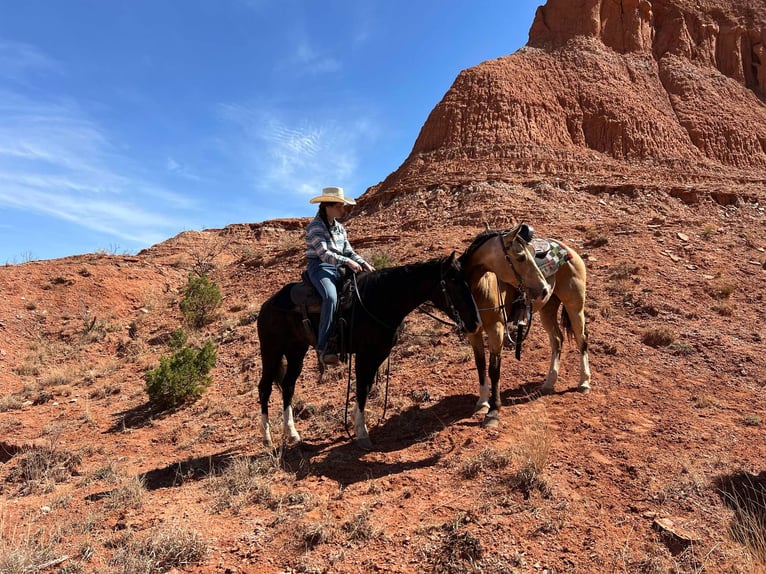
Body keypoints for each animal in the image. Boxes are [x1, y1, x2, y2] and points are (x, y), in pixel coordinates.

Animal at [256, 253, 481, 450]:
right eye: (453, 283)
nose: (475, 323)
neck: (380, 300)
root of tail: (267, 305)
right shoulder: (364, 355)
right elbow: (362, 388)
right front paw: (362, 432)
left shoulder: (379, 353)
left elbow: (368, 384)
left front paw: (355, 421)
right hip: (272, 350)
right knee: (264, 388)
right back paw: (267, 438)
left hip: (296, 351)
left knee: (288, 386)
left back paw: (292, 434)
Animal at [459, 224, 591, 427]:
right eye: (520, 257)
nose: (543, 287)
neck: (479, 287)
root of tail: (569, 251)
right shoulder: (472, 332)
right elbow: (480, 365)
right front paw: (482, 403)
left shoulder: (496, 330)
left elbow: (494, 369)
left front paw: (493, 412)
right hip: (548, 309)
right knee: (557, 340)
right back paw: (549, 383)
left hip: (574, 306)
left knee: (581, 339)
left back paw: (584, 383)